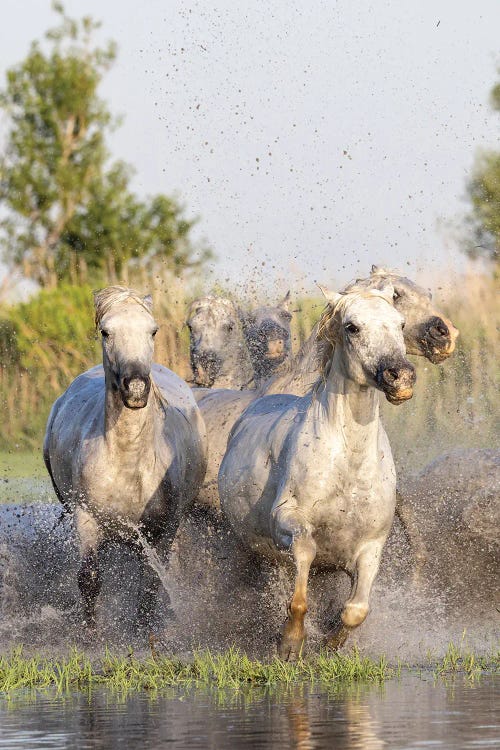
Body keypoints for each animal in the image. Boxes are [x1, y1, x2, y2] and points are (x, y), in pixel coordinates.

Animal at [43, 286, 207, 628]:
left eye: (153, 331)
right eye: (106, 332)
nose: (135, 388)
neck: (127, 462)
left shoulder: (164, 530)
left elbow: (151, 585)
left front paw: (143, 631)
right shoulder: (86, 519)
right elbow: (90, 578)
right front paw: (91, 631)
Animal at [219, 284, 414, 660]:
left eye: (400, 323)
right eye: (352, 327)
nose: (400, 377)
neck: (348, 463)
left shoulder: (372, 546)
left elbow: (356, 610)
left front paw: (329, 646)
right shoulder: (290, 523)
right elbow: (299, 594)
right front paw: (289, 646)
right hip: (254, 551)